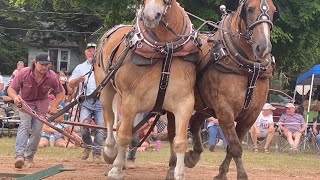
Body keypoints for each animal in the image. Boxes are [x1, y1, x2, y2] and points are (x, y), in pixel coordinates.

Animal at [92, 0, 198, 180]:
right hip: (106, 89)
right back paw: (110, 152)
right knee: (110, 120)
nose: (150, 16)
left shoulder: (184, 102)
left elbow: (180, 141)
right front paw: (115, 170)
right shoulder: (130, 101)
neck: (166, 49)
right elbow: (124, 135)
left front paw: (179, 174)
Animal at [166, 0, 278, 179]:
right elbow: (235, 147)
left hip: (204, 107)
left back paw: (193, 156)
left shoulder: (250, 115)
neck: (249, 67)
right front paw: (241, 175)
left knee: (195, 123)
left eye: (274, 11)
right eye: (250, 9)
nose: (263, 48)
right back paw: (172, 167)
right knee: (173, 133)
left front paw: (222, 173)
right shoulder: (225, 110)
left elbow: (232, 146)